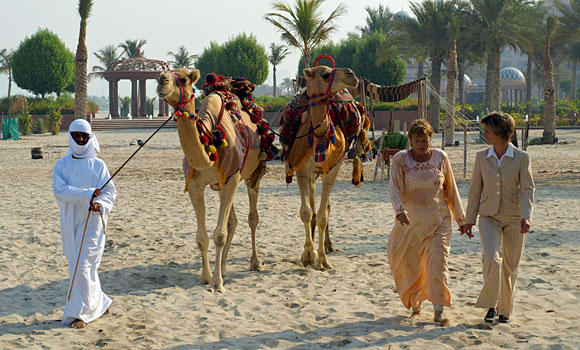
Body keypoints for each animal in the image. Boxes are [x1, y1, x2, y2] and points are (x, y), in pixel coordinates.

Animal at [154, 68, 272, 292]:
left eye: (184, 79)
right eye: (162, 75)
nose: (162, 81)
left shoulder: (232, 178)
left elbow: (219, 235)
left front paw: (217, 284)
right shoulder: (195, 185)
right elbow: (202, 237)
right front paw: (207, 276)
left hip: (253, 173)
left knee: (252, 218)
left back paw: (255, 262)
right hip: (220, 185)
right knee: (232, 221)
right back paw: (224, 267)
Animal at [280, 61, 372, 270]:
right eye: (325, 74)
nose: (352, 75)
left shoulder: (332, 169)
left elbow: (322, 215)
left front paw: (322, 259)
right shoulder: (301, 170)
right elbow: (306, 212)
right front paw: (308, 255)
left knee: (326, 208)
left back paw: (328, 245)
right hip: (312, 173)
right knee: (313, 208)